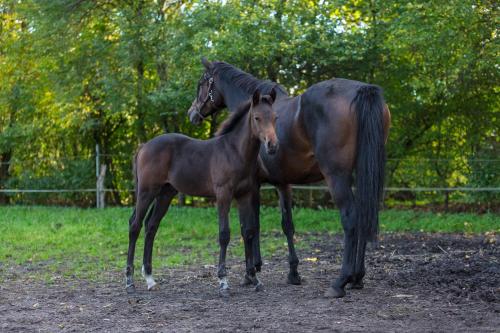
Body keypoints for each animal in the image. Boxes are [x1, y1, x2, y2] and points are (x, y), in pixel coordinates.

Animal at [125, 89, 280, 294]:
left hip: (165, 194)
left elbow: (248, 232)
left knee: (151, 226)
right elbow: (224, 234)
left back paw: (150, 278)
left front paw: (254, 279)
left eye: (275, 117)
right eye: (257, 118)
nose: (272, 145)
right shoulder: (223, 195)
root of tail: (144, 146)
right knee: (135, 226)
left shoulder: (245, 195)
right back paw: (129, 281)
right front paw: (223, 281)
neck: (235, 152)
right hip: (146, 192)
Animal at [188, 58, 390, 296]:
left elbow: (249, 226)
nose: (192, 113)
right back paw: (357, 277)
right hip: (361, 173)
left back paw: (341, 282)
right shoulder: (282, 183)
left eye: (202, 83)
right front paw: (293, 272)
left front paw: (250, 272)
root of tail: (362, 90)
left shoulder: (251, 186)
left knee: (350, 217)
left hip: (336, 176)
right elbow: (287, 225)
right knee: (363, 216)